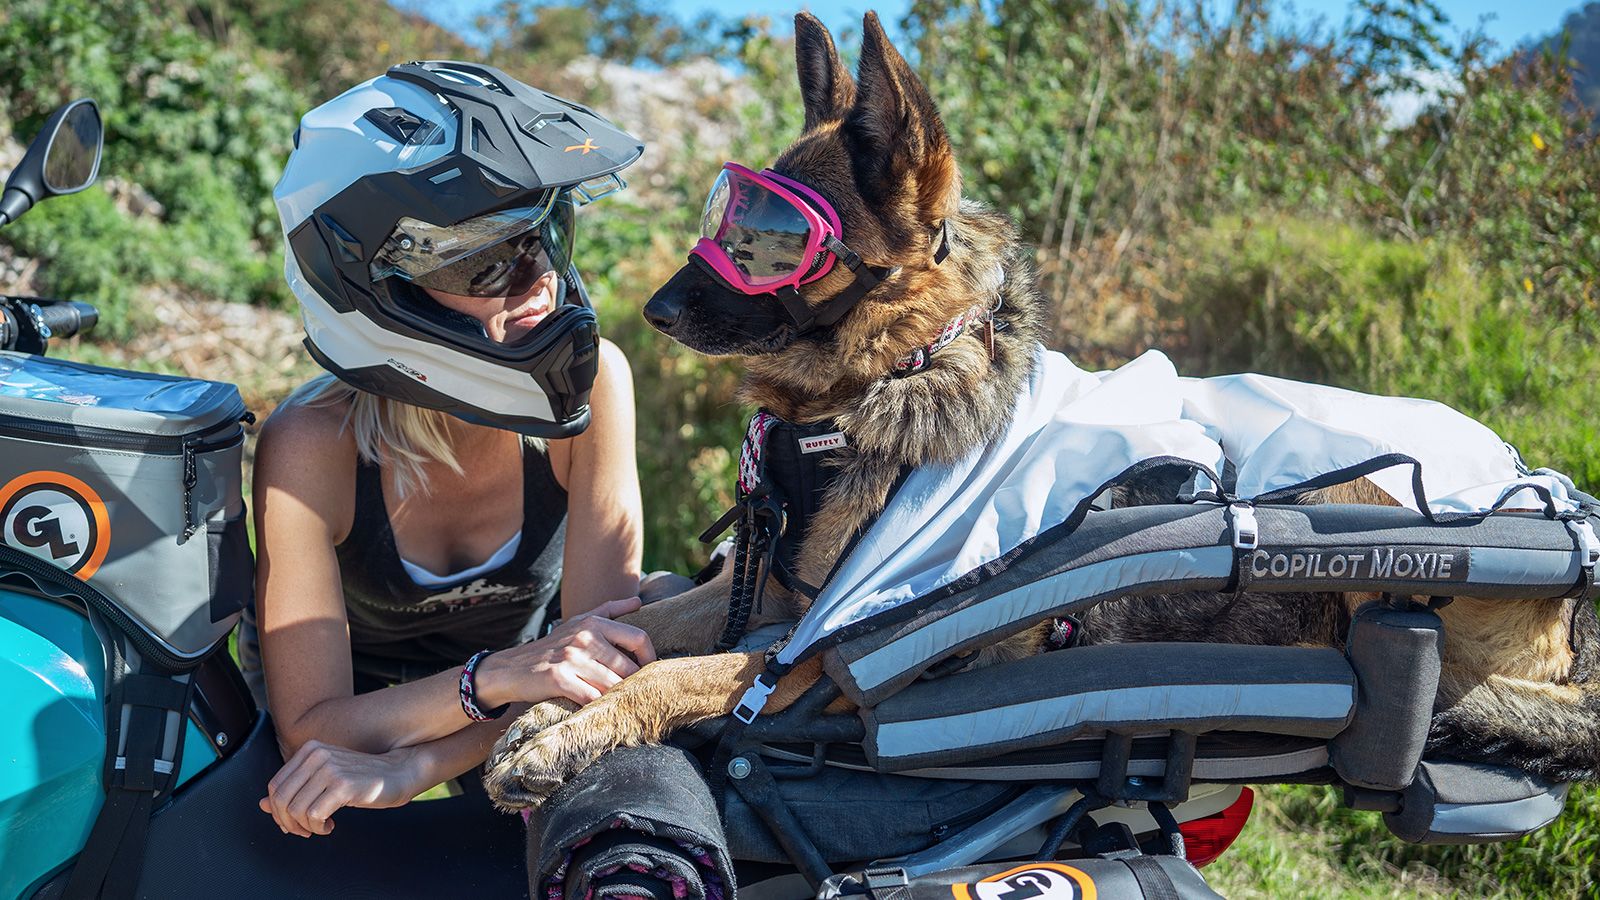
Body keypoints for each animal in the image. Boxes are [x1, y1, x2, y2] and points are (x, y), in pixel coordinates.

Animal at [483, 8, 1600, 807]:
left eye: (769, 239)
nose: (651, 310)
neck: (886, 378)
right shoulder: (767, 598)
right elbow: (649, 625)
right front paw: (549, 687)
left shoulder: (816, 651)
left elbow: (675, 675)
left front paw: (567, 735)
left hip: (1360, 506)